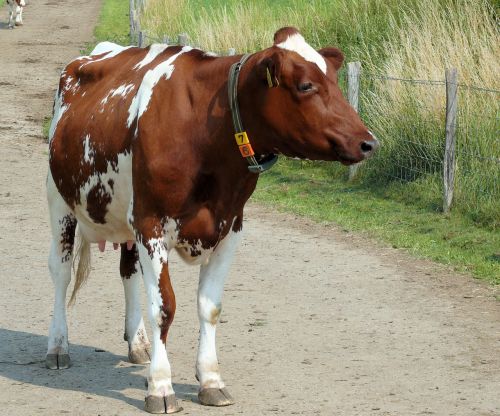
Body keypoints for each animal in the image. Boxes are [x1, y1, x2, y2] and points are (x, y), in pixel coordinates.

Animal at [47, 27, 376, 414]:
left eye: (336, 83)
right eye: (306, 85)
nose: (369, 143)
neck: (208, 138)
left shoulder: (230, 226)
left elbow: (210, 307)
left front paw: (210, 380)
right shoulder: (151, 223)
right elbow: (164, 308)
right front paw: (161, 385)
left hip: (124, 216)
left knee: (128, 271)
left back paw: (138, 343)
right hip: (59, 203)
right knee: (61, 273)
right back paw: (58, 346)